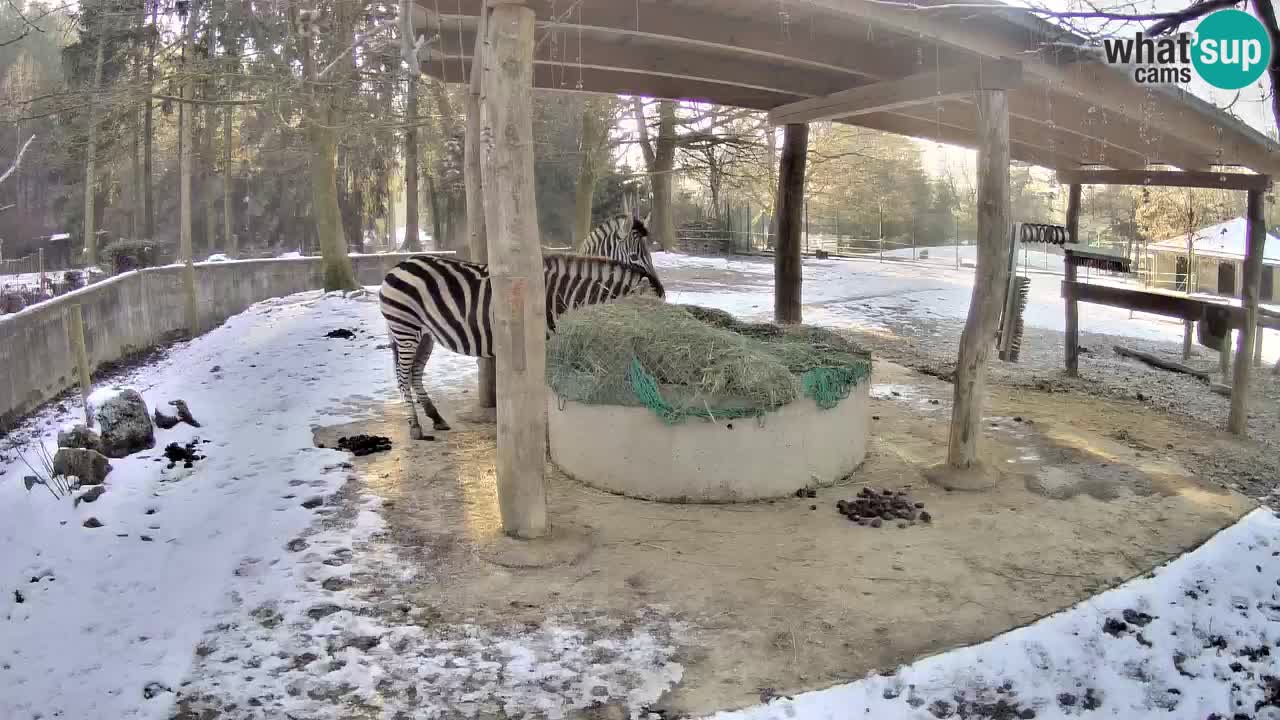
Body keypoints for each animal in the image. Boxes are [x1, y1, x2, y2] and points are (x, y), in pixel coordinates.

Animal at [376, 212, 660, 438]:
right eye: (635, 256)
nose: (660, 290)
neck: (563, 294)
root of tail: (399, 265)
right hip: (406, 329)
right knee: (402, 375)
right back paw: (415, 426)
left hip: (426, 334)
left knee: (414, 373)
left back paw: (435, 418)